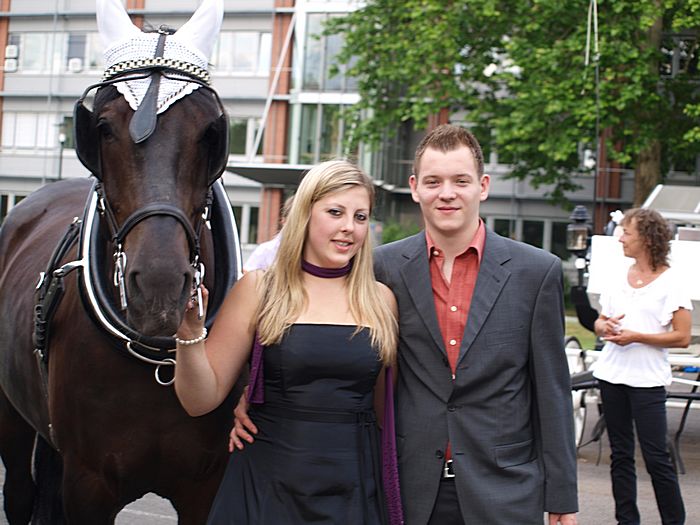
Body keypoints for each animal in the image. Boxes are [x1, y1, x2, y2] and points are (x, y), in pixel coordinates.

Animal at [0, 21, 241, 525]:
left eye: (210, 131)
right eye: (104, 128)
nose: (160, 291)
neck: (159, 366)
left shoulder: (205, 487)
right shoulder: (88, 484)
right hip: (11, 418)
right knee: (19, 492)